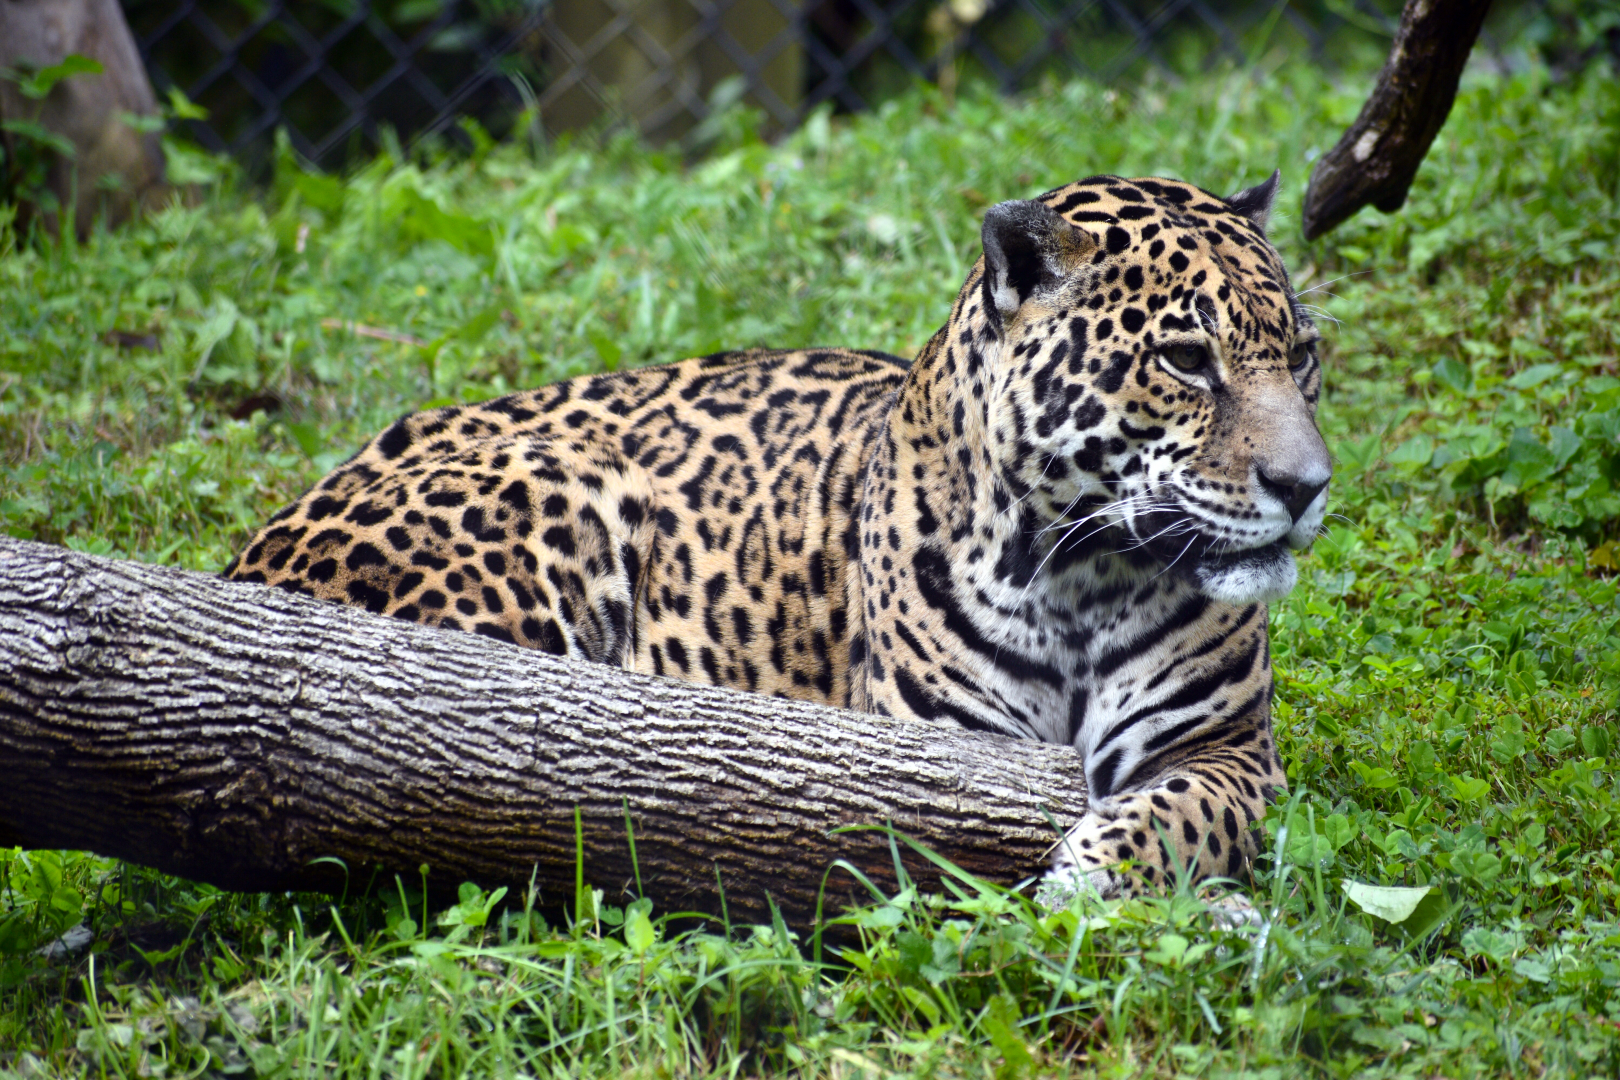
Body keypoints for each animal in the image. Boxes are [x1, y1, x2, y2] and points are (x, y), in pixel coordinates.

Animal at [226, 171, 1331, 899]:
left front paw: (1092, 876)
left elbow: (1179, 817)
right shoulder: (943, 751)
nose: (1308, 486)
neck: (1085, 573)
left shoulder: (1229, 749)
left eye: (1302, 354)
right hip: (552, 492)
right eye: (1185, 360)